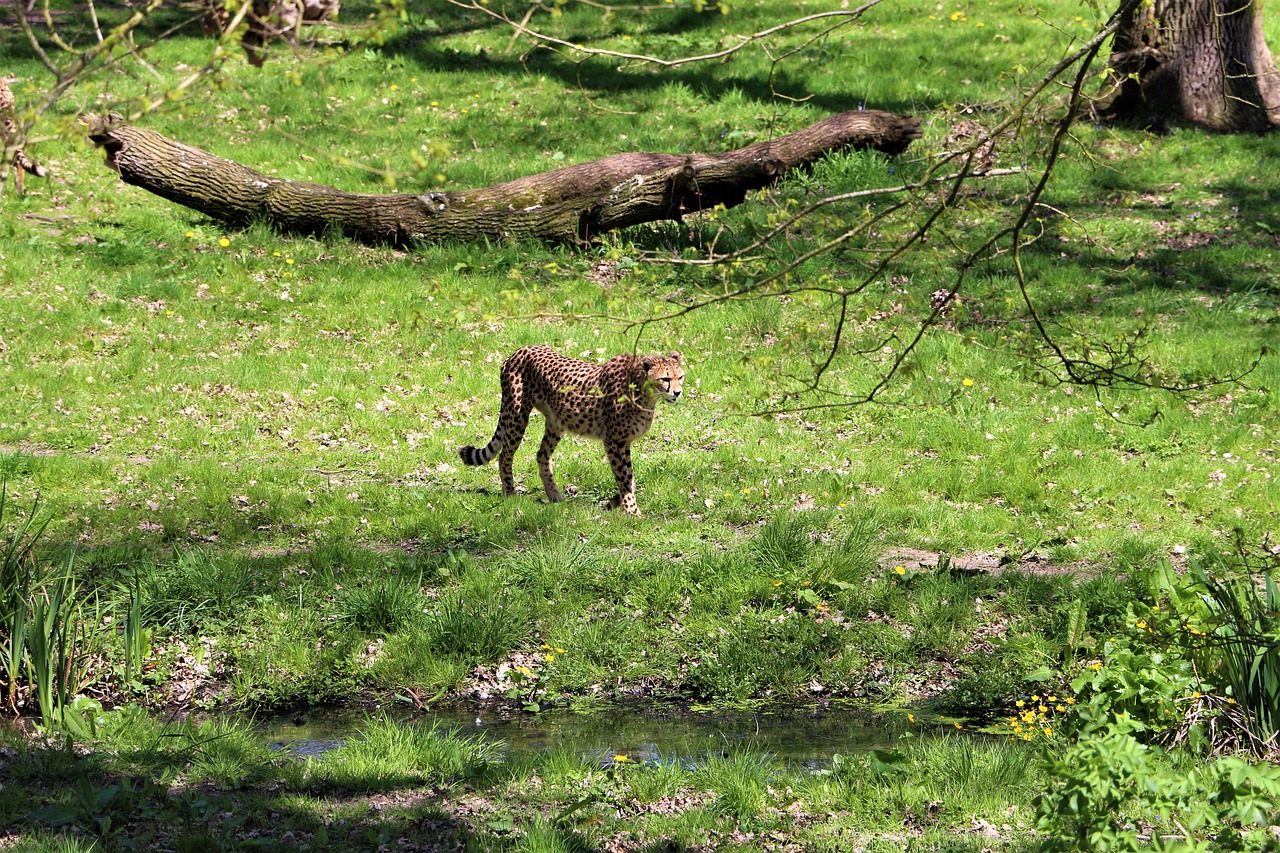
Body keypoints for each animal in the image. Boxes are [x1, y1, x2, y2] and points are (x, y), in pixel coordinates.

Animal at [458, 343, 686, 514]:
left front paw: (613, 502)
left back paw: (555, 495)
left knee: (541, 455)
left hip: (556, 422)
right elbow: (625, 479)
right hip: (517, 415)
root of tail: (521, 349)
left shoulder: (624, 443)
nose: (677, 393)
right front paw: (632, 511)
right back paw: (509, 493)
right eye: (665, 378)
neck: (645, 392)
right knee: (505, 455)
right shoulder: (613, 442)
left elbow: (630, 479)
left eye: (680, 377)